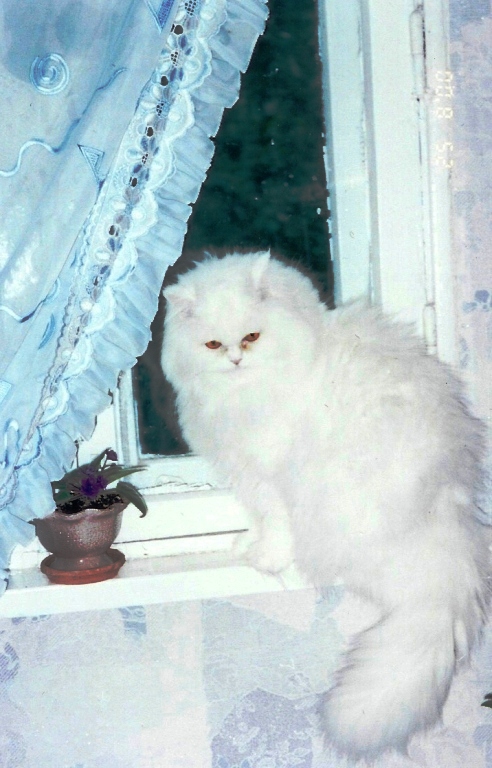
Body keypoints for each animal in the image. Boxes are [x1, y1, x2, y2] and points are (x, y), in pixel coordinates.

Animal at [161, 250, 491, 761]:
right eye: (213, 344)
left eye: (252, 336)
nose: (236, 358)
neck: (246, 394)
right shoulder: (248, 475)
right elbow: (259, 522)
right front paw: (246, 547)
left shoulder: (270, 478)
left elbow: (275, 525)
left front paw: (266, 559)